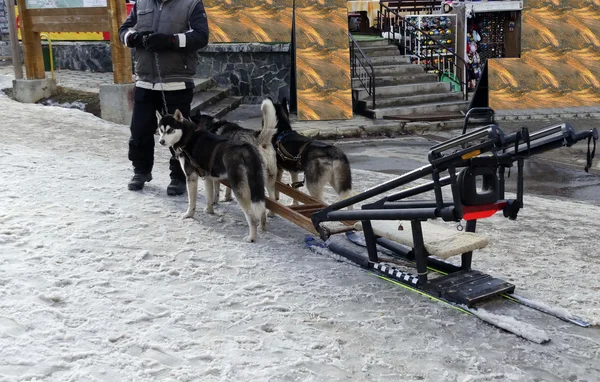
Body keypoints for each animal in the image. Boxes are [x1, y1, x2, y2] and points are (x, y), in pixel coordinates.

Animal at [158, 109, 266, 242]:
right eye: (161, 130)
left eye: (170, 130)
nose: (161, 141)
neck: (188, 137)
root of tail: (246, 149)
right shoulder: (208, 177)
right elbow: (209, 197)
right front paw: (209, 211)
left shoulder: (191, 177)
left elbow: (191, 202)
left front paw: (188, 215)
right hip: (257, 186)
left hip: (239, 189)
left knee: (252, 217)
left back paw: (252, 237)